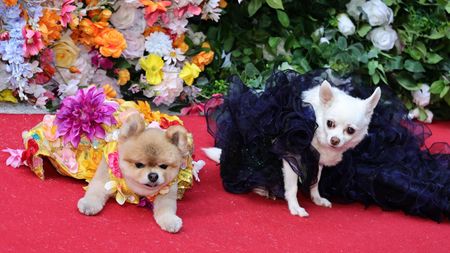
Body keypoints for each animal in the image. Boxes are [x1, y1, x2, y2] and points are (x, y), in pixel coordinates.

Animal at [206, 81, 382, 217]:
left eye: (350, 130)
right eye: (330, 123)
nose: (335, 140)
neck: (314, 124)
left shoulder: (316, 161)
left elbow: (315, 181)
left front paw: (316, 198)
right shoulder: (291, 157)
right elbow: (292, 187)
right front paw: (295, 206)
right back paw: (262, 189)